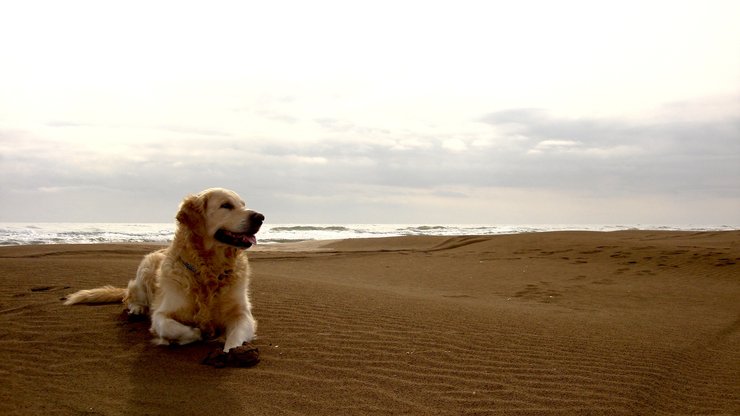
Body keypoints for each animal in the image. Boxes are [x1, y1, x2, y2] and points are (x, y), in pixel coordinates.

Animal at [64, 188, 264, 354]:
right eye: (226, 205)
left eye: (243, 205)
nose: (260, 217)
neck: (208, 271)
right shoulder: (162, 313)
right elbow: (172, 327)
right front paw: (198, 333)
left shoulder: (242, 314)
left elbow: (236, 337)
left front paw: (232, 352)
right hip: (144, 270)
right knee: (129, 297)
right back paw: (137, 308)